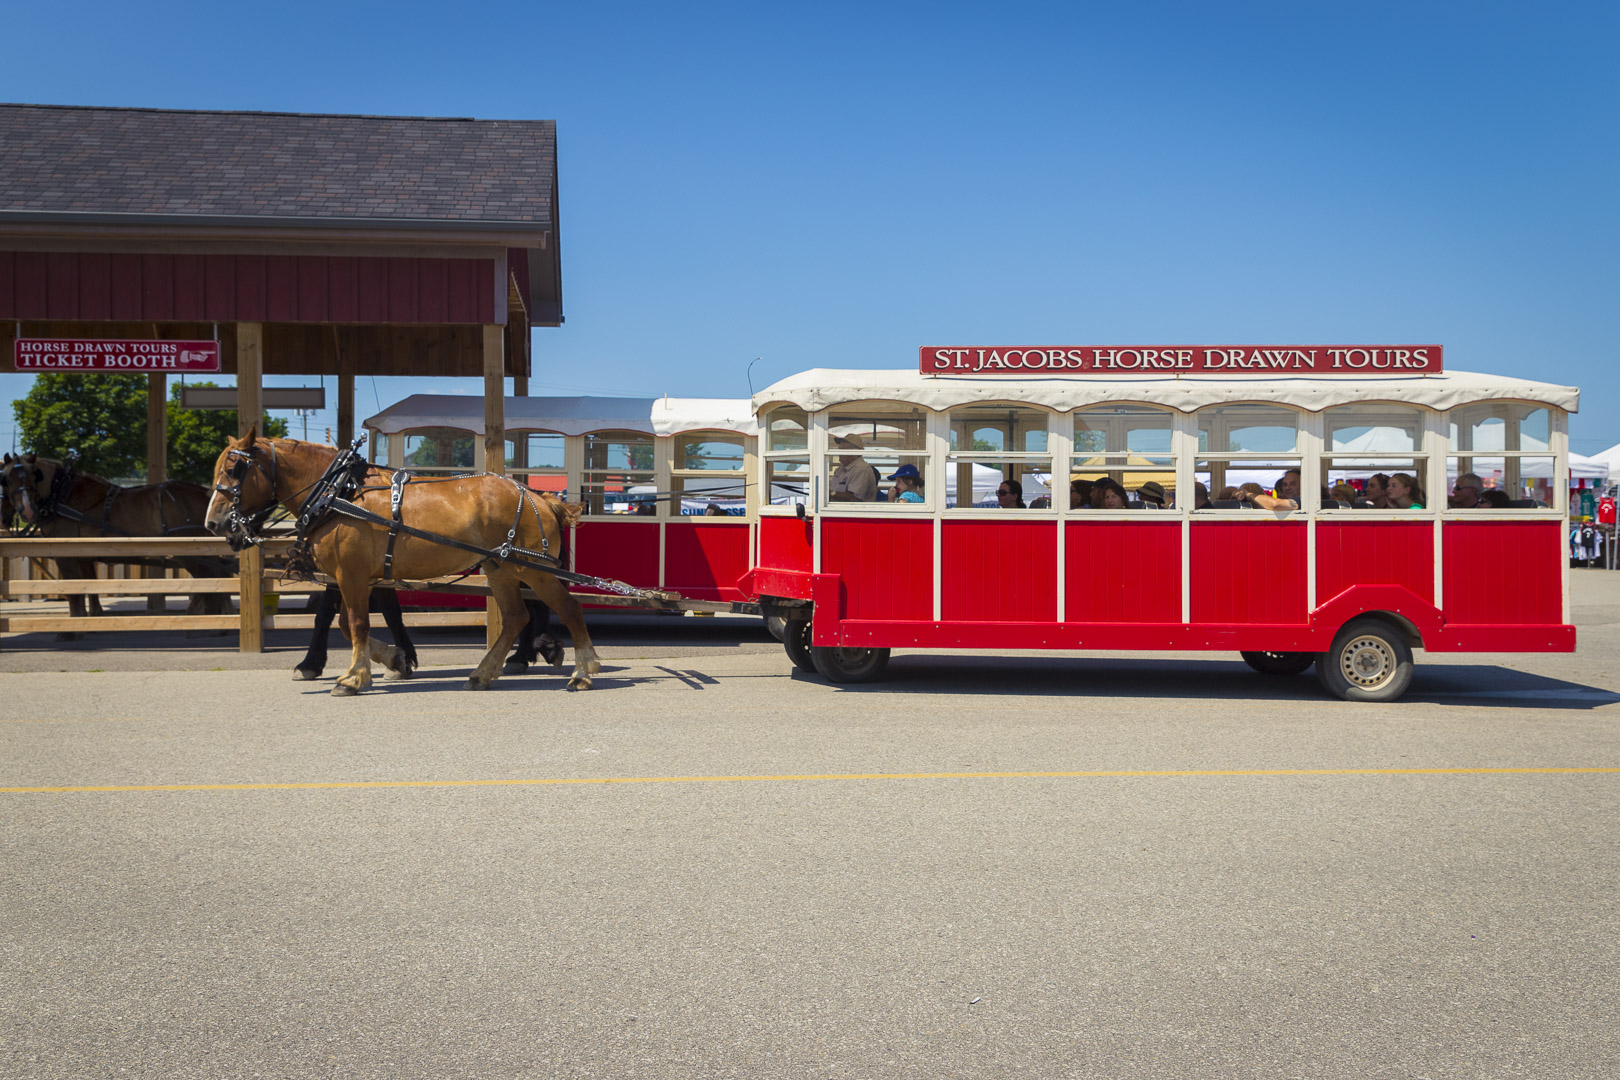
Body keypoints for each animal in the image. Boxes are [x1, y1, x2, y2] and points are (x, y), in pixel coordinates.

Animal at [1, 453, 231, 625]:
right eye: (6, 478)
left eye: (33, 476)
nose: (26, 510)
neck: (62, 496)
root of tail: (206, 493)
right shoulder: (84, 555)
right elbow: (88, 585)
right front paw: (93, 616)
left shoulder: (66, 555)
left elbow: (75, 589)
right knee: (217, 575)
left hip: (190, 553)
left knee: (211, 578)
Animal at [205, 427, 599, 696]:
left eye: (235, 469)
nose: (214, 523)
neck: (337, 492)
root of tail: (538, 495)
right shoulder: (355, 577)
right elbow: (349, 625)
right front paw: (394, 659)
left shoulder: (350, 574)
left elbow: (357, 624)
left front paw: (353, 678)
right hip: (499, 567)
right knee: (517, 616)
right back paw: (484, 672)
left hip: (530, 568)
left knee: (568, 608)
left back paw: (582, 672)